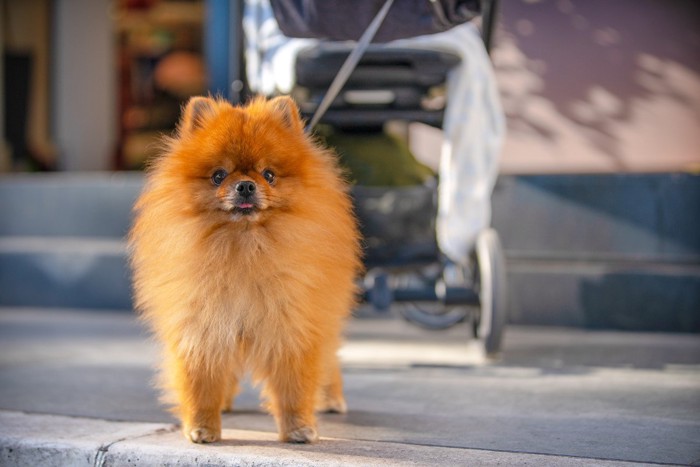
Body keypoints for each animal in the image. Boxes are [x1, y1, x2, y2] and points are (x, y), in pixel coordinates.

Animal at [128, 96, 364, 446]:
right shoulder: (202, 325)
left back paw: (332, 399)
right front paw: (202, 427)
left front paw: (298, 428)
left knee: (329, 358)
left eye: (269, 174)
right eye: (218, 175)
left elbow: (295, 385)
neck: (243, 249)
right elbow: (201, 381)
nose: (245, 186)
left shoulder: (292, 325)